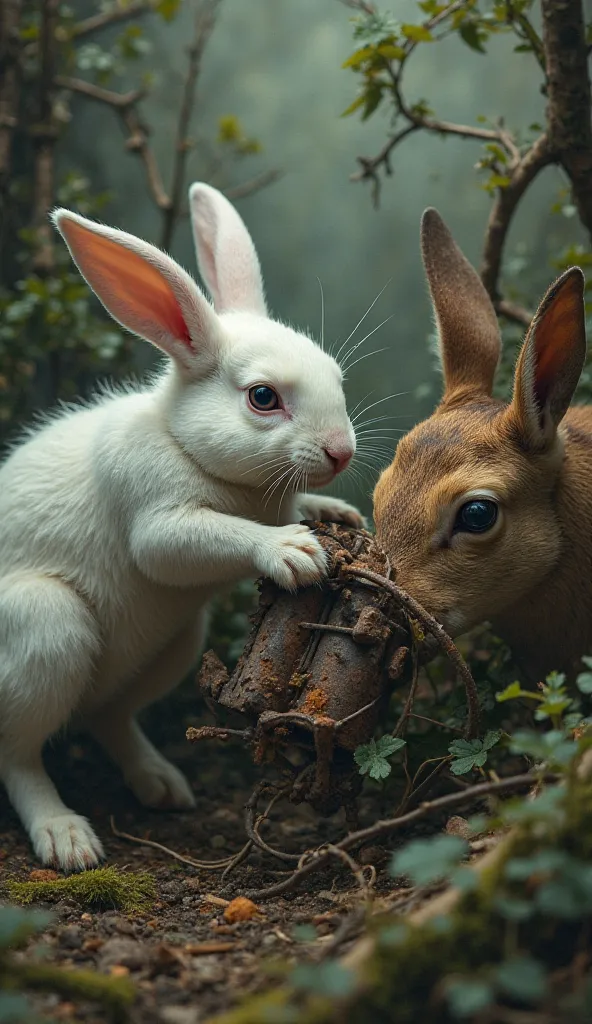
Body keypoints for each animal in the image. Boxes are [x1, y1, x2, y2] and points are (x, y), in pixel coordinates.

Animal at [0, 180, 360, 868]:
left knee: (109, 718)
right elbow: (195, 539)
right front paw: (293, 551)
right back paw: (67, 839)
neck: (183, 441)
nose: (342, 453)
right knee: (20, 756)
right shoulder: (159, 523)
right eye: (263, 398)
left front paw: (337, 514)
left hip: (176, 642)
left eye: (336, 376)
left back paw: (162, 785)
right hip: (47, 627)